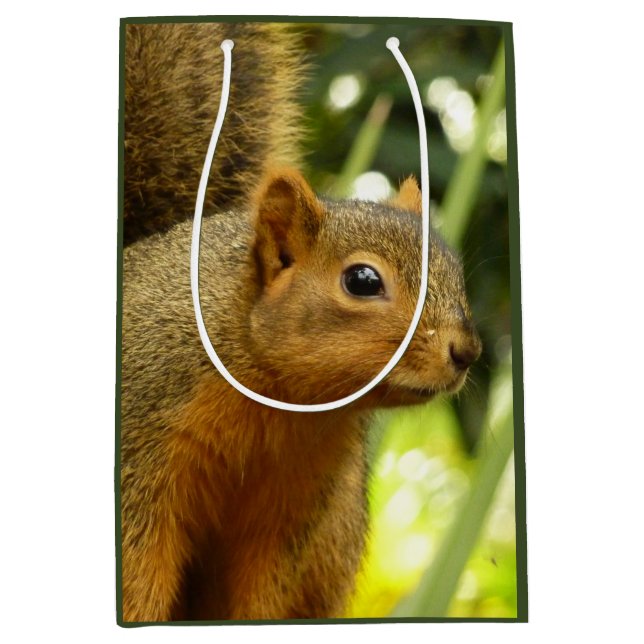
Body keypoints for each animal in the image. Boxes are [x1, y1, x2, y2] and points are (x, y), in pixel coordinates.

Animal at [120, 22, 482, 623]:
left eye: (454, 270)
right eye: (363, 280)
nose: (467, 352)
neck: (277, 403)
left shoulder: (295, 505)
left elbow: (262, 588)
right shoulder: (139, 455)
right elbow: (138, 571)